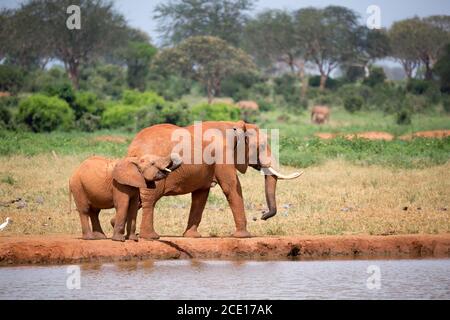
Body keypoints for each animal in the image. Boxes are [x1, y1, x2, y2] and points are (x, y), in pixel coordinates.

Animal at [126, 120, 302, 240]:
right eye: (263, 145)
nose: (262, 216)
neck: (234, 124)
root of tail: (133, 148)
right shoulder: (222, 155)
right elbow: (232, 187)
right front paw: (244, 236)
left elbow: (201, 195)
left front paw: (192, 237)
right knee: (150, 199)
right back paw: (150, 237)